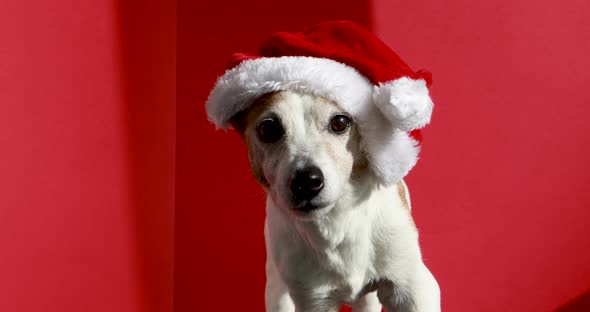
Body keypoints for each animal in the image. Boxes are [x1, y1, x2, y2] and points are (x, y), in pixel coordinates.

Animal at [229, 90, 442, 312]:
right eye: (268, 128)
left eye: (340, 122)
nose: (306, 181)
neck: (339, 221)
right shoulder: (314, 300)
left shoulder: (415, 289)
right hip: (277, 285)